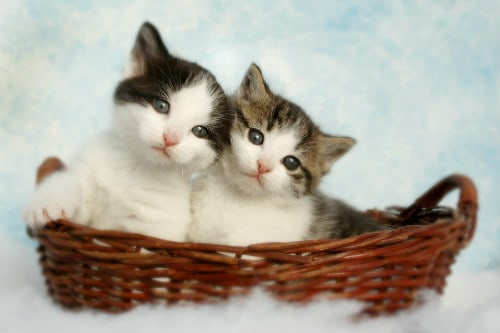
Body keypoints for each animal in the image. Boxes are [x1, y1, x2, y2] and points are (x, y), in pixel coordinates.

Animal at [22, 22, 233, 241]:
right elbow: (72, 182)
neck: (137, 167)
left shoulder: (157, 226)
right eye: (161, 106)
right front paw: (47, 203)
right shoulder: (88, 176)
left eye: (199, 131)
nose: (170, 138)